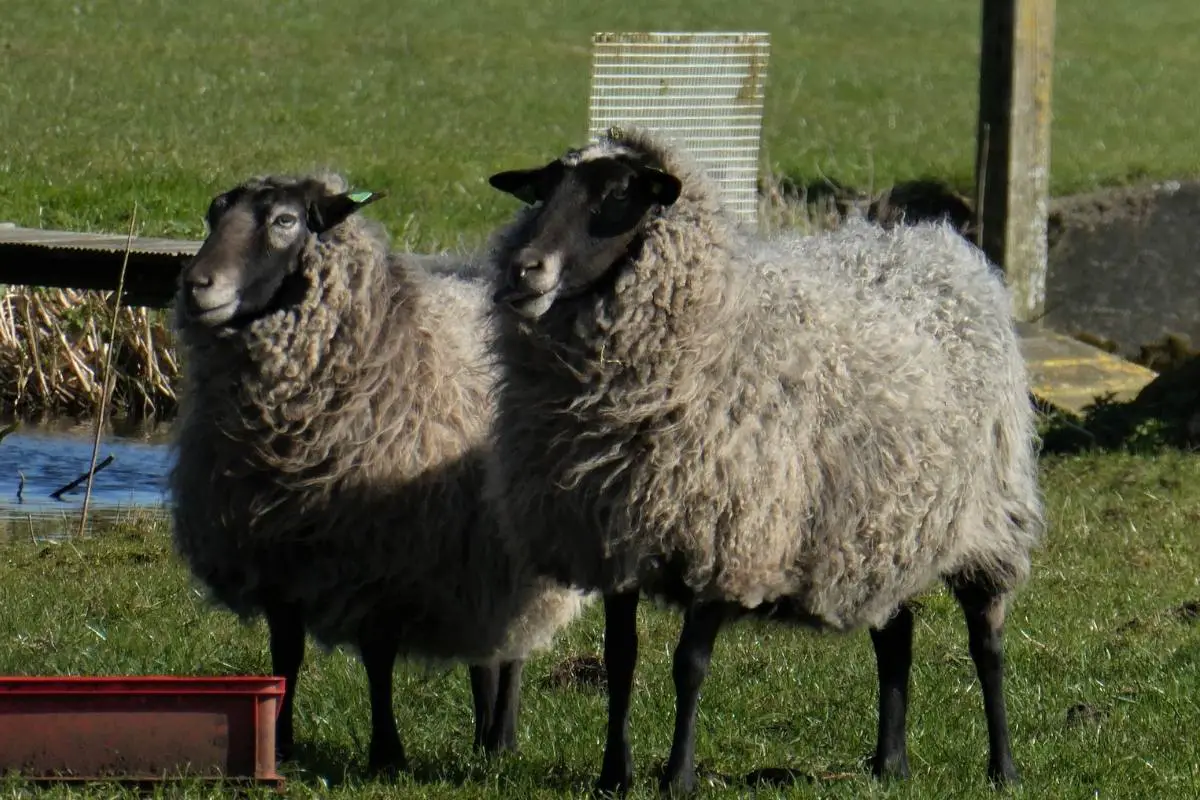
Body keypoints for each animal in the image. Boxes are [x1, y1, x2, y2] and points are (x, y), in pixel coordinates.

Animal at [168, 172, 588, 775]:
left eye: (285, 221)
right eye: (213, 214)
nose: (196, 285)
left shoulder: (384, 561)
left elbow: (378, 659)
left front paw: (387, 753)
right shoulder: (277, 555)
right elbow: (286, 652)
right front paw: (282, 741)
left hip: (519, 553)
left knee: (512, 648)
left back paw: (500, 740)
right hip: (478, 558)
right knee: (486, 650)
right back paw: (484, 737)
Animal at [481, 126, 1044, 795]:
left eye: (619, 195)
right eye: (542, 189)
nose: (524, 269)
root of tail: (941, 246)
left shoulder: (726, 536)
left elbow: (689, 665)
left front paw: (678, 777)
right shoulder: (613, 538)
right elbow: (622, 660)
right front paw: (614, 775)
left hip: (989, 517)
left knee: (987, 643)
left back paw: (1003, 767)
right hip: (887, 524)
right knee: (896, 635)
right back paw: (889, 763)